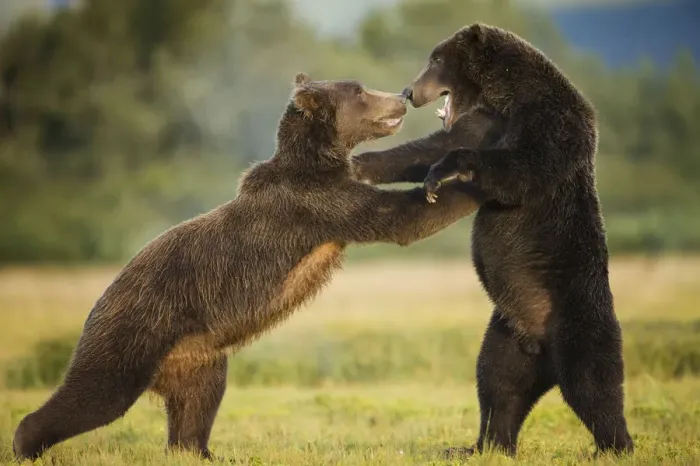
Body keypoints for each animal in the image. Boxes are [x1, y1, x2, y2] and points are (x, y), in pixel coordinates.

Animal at [12, 73, 485, 461]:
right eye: (359, 92)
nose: (400, 98)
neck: (318, 161)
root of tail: (102, 298)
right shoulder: (319, 205)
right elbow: (400, 219)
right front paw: (466, 184)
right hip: (135, 329)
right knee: (97, 394)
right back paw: (27, 444)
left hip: (199, 355)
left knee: (197, 404)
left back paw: (203, 451)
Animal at [351, 23, 634, 458]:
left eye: (436, 59)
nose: (410, 90)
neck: (509, 96)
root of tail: (541, 348)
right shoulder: (486, 119)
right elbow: (431, 146)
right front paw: (363, 164)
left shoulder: (552, 123)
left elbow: (522, 168)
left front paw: (443, 173)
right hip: (506, 331)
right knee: (498, 383)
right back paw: (484, 445)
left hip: (580, 313)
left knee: (593, 381)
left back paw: (613, 446)